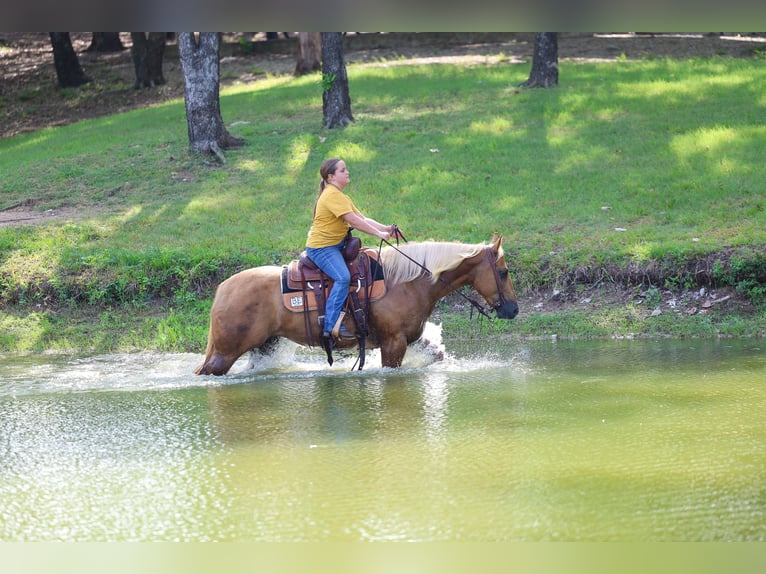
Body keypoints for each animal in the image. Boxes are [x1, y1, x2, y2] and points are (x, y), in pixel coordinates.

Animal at [195, 233, 518, 375]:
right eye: (503, 272)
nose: (513, 309)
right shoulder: (393, 343)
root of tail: (223, 289)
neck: (407, 281)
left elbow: (437, 355)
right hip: (225, 353)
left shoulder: (410, 339)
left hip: (264, 347)